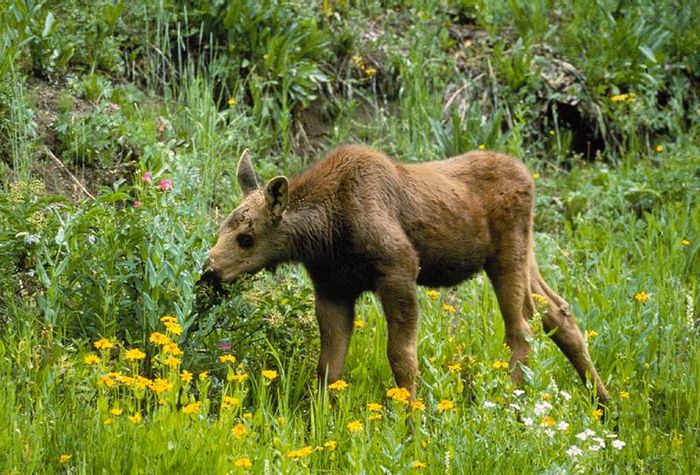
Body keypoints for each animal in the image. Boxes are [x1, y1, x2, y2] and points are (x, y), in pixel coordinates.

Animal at [205, 146, 608, 406]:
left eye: (246, 238)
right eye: (223, 227)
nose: (209, 272)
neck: (325, 232)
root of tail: (528, 177)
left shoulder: (399, 269)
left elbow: (401, 358)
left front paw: (410, 423)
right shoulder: (333, 289)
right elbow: (329, 366)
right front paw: (322, 422)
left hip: (508, 256)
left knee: (521, 329)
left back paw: (511, 404)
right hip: (526, 257)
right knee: (557, 312)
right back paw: (603, 403)